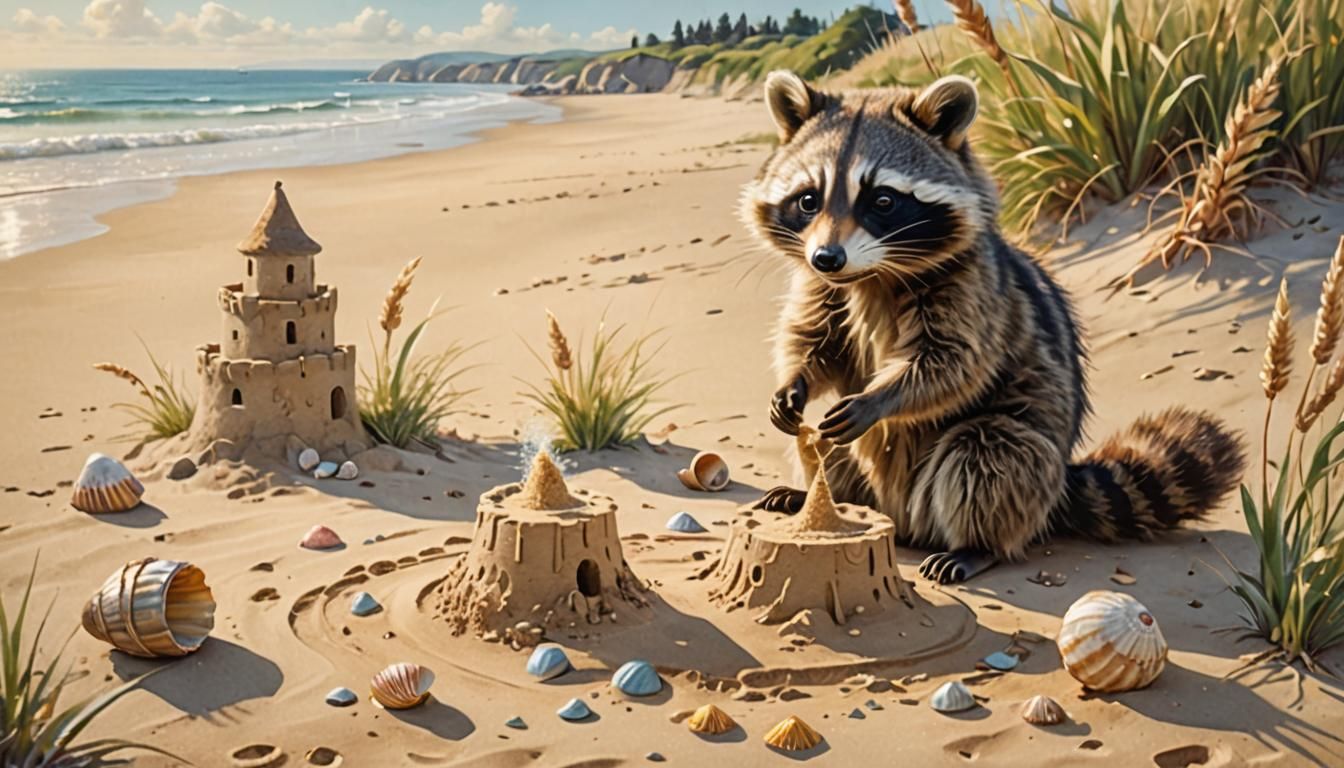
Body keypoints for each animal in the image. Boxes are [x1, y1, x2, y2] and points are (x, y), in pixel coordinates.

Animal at [742, 71, 1246, 583]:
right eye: (808, 200)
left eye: (882, 200)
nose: (828, 257)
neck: (871, 275)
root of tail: (902, 518)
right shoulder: (823, 288)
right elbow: (814, 338)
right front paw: (794, 381)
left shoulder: (973, 288)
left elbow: (952, 362)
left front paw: (879, 396)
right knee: (827, 445)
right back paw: (827, 497)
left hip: (1019, 460)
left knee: (990, 453)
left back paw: (976, 544)